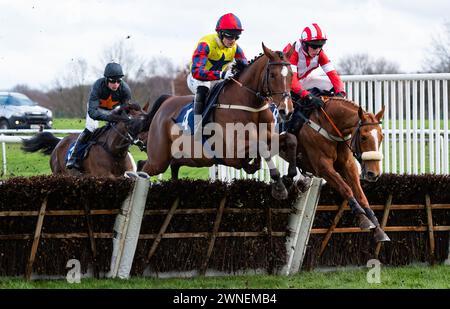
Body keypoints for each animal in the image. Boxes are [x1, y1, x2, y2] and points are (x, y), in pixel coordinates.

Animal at [139, 43, 298, 200]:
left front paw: (290, 176)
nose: (286, 111)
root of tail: (166, 101)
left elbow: (291, 139)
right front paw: (279, 187)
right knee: (143, 168)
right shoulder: (233, 152)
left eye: (291, 74)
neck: (250, 104)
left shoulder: (269, 137)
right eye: (272, 75)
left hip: (184, 157)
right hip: (158, 159)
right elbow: (262, 148)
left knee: (172, 166)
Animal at [282, 96, 390, 241]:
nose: (374, 174)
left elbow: (361, 195)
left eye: (381, 136)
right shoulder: (323, 167)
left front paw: (377, 228)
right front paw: (363, 218)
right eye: (363, 137)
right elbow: (345, 188)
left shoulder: (348, 165)